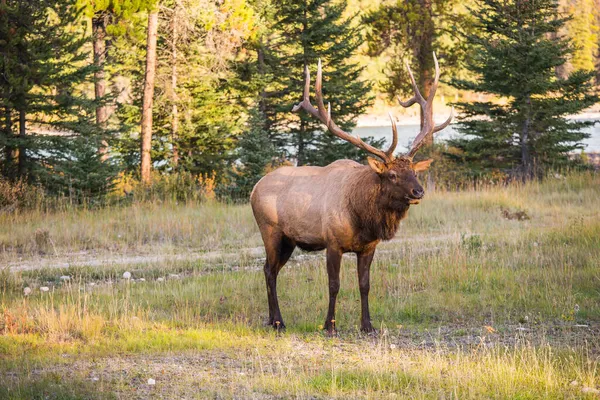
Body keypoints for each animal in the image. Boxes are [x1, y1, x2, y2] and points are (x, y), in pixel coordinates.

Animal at [251, 54, 452, 334]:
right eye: (392, 175)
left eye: (414, 171)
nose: (418, 191)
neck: (362, 217)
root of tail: (254, 188)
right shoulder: (332, 242)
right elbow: (334, 285)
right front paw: (330, 325)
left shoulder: (368, 247)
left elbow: (365, 284)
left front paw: (367, 325)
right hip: (270, 230)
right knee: (269, 270)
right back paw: (279, 321)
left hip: (289, 240)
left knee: (269, 269)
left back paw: (271, 319)